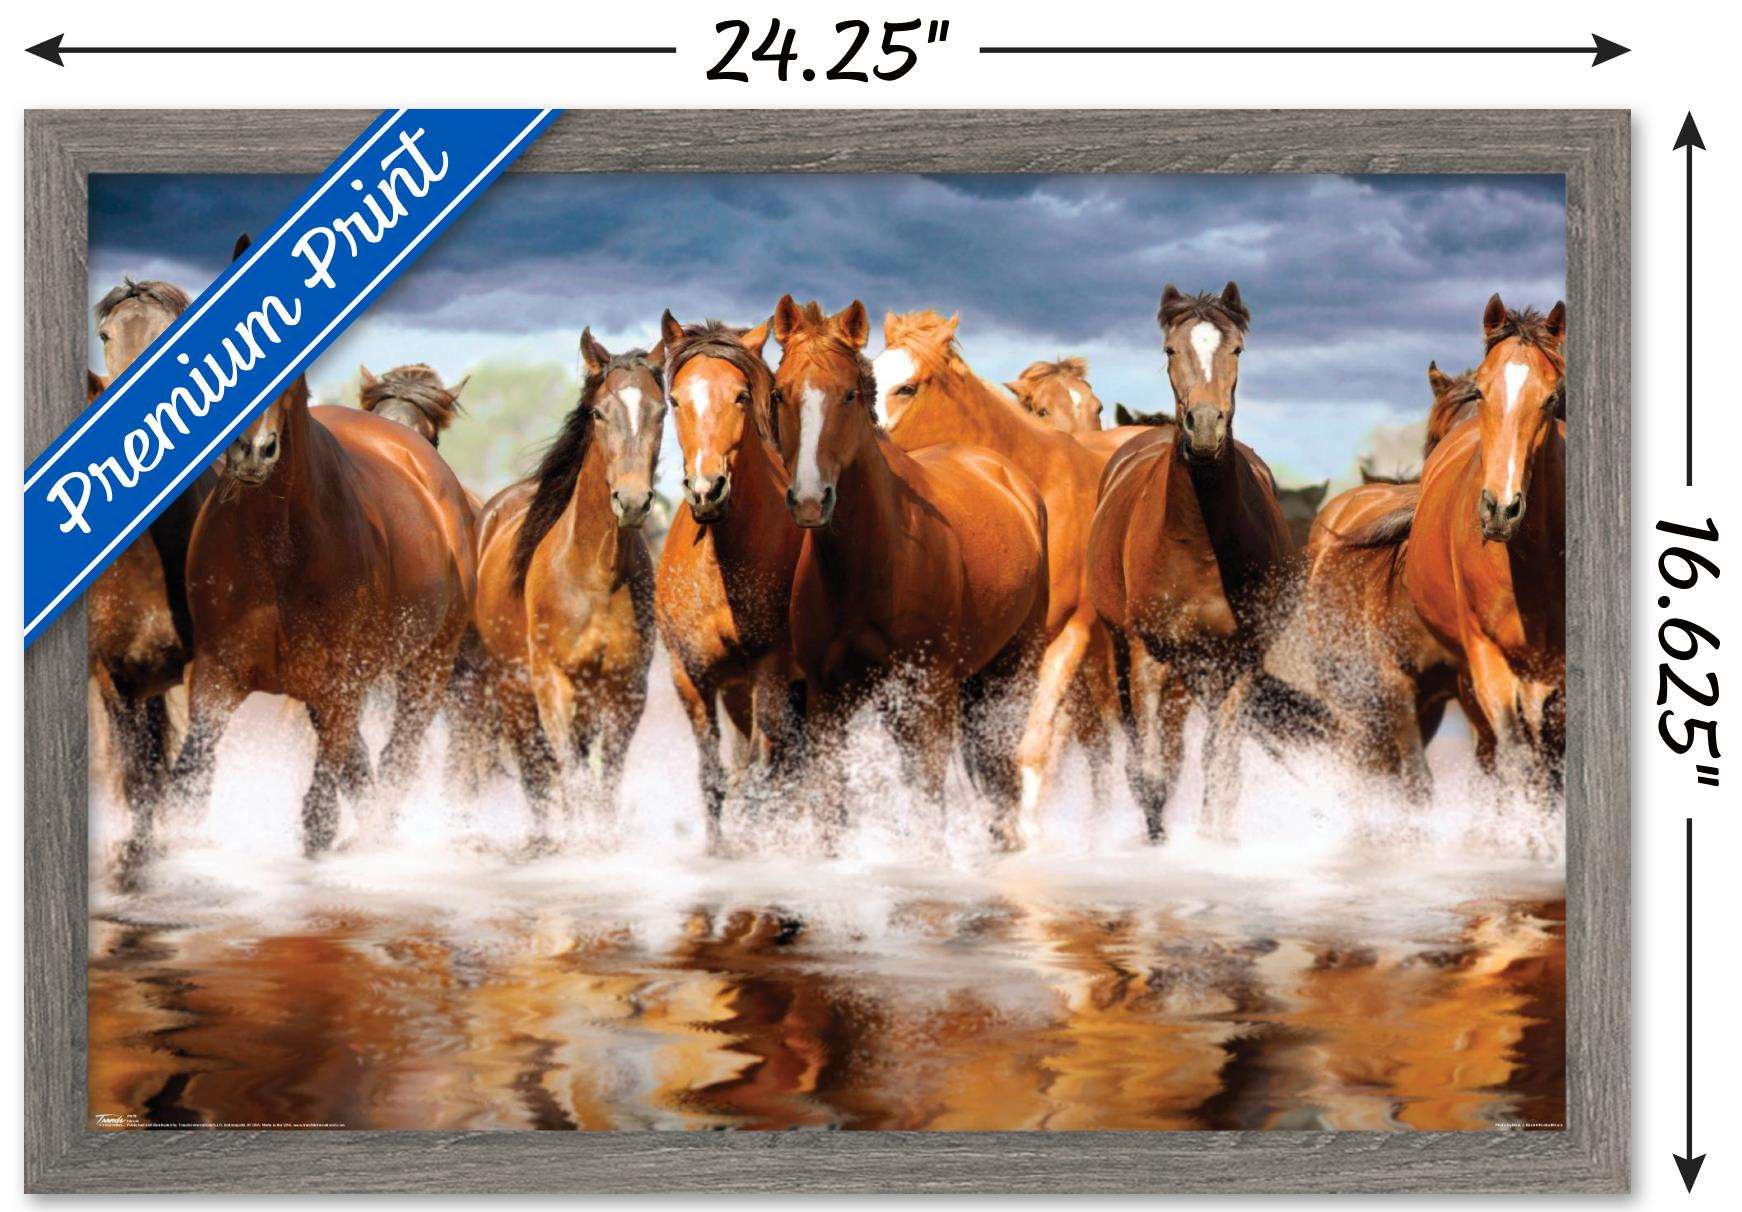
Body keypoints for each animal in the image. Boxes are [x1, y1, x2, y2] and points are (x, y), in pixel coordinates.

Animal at [160, 371, 477, 865]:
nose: (252, 450)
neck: (276, 544)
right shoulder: (217, 673)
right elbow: (187, 790)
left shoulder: (338, 683)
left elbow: (321, 812)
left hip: (429, 665)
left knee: (397, 757)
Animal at [472, 330, 665, 834]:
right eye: (599, 412)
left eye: (661, 410)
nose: (632, 501)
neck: (596, 574)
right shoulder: (552, 683)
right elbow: (572, 781)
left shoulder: (625, 691)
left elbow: (604, 787)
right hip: (513, 690)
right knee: (536, 775)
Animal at [652, 313, 804, 851]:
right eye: (676, 399)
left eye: (740, 395)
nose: (706, 490)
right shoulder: (691, 676)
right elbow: (714, 777)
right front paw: (719, 851)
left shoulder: (771, 672)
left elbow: (761, 774)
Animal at [770, 297, 1050, 848]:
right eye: (779, 392)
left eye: (850, 394)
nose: (811, 500)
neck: (874, 561)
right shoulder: (827, 699)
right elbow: (831, 808)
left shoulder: (928, 698)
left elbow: (927, 808)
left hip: (1010, 670)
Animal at [1086, 282, 1316, 841]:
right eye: (1171, 349)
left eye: (1238, 350)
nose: (1206, 427)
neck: (1198, 544)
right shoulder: (1148, 656)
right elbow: (1152, 767)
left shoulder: (1239, 661)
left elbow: (1222, 764)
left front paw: (1215, 840)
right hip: (1126, 652)